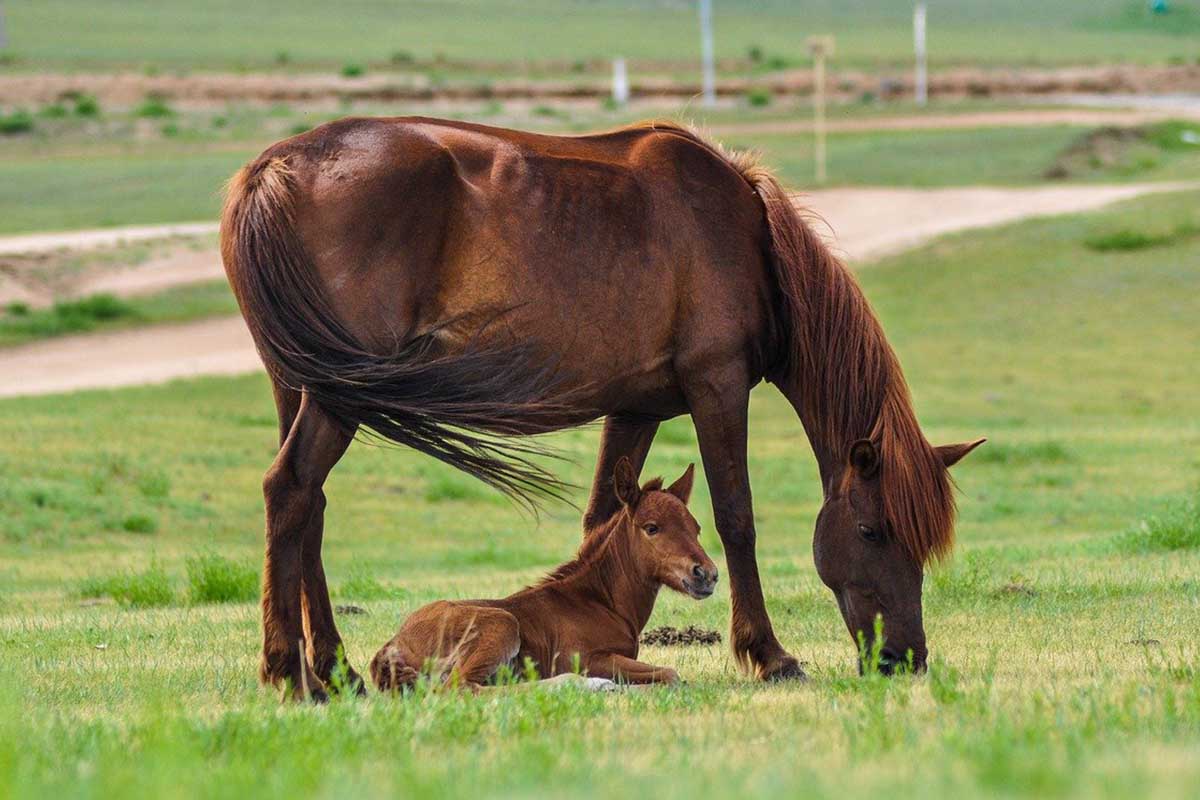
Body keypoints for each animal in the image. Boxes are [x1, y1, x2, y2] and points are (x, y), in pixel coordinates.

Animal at [369, 460, 715, 690]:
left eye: (696, 528)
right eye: (651, 527)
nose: (707, 574)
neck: (601, 601)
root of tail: (392, 645)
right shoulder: (587, 658)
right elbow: (671, 674)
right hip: (501, 624)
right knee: (462, 688)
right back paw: (583, 685)